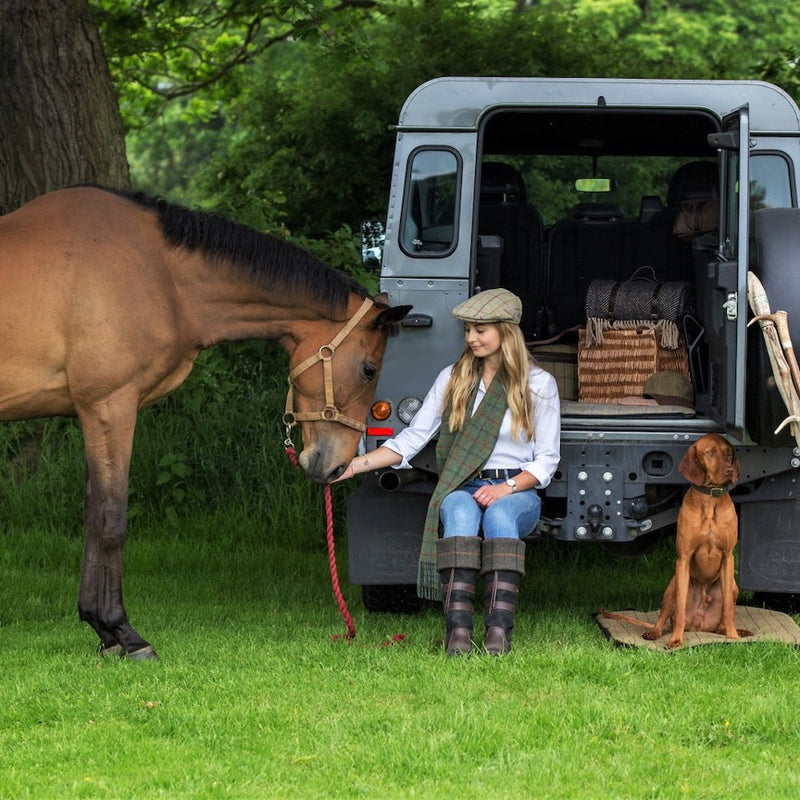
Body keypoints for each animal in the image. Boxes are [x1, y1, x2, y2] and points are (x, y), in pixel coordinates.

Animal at [0, 186, 410, 656]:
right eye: (368, 370)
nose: (337, 466)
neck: (159, 273)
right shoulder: (108, 407)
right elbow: (110, 518)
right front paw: (123, 632)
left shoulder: (94, 414)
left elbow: (92, 514)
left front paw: (101, 628)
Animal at [604, 434, 748, 648]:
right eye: (709, 452)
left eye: (729, 453)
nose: (730, 471)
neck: (710, 502)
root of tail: (699, 627)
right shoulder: (684, 558)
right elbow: (679, 608)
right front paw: (676, 640)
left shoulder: (728, 556)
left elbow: (729, 609)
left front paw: (733, 636)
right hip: (671, 587)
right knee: (664, 619)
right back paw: (655, 633)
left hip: (733, 586)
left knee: (720, 622)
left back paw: (734, 631)